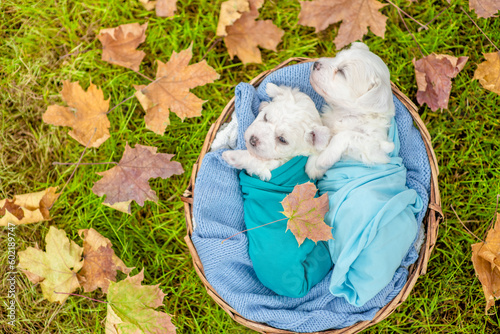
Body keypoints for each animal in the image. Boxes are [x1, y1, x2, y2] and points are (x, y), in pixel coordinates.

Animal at [306, 42, 396, 180]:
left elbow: (346, 134)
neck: (346, 114)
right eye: (336, 57)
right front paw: (313, 165)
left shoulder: (377, 147)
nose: (316, 63)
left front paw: (322, 159)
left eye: (342, 72)